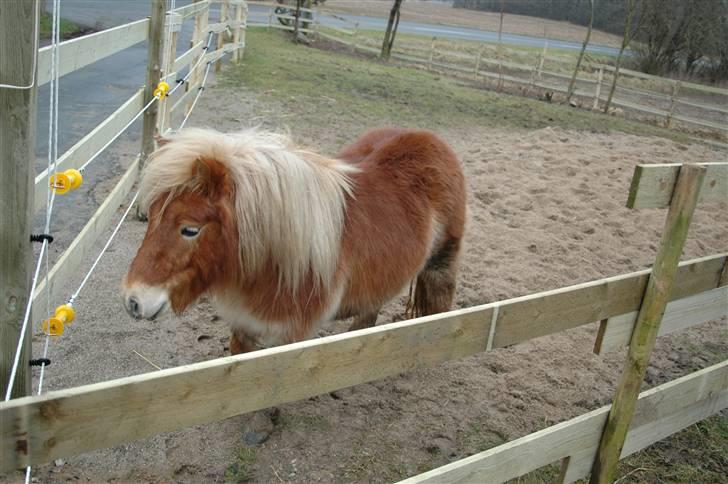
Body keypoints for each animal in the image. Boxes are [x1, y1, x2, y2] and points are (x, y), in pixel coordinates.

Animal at [123, 126, 466, 354]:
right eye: (150, 215)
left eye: (190, 230)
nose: (132, 301)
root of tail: (430, 139)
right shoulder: (244, 323)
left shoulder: (287, 336)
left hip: (442, 264)